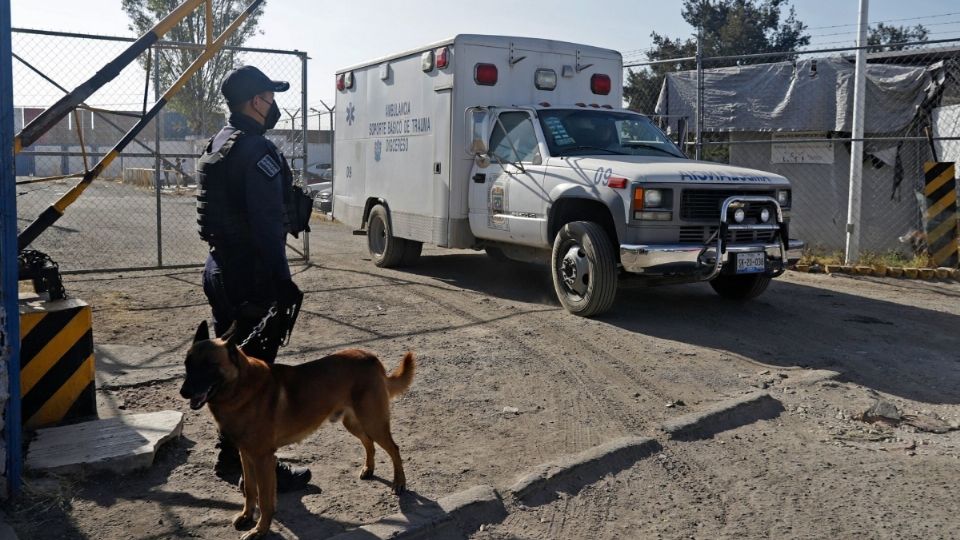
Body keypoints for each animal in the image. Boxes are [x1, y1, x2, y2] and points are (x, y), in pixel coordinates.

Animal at [182, 322, 414, 536]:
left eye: (209, 366)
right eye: (187, 364)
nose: (183, 392)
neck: (240, 387)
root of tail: (371, 357)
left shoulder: (262, 459)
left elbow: (265, 500)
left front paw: (260, 530)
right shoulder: (246, 455)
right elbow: (249, 489)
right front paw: (247, 516)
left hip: (373, 422)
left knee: (393, 448)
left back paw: (399, 482)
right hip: (354, 423)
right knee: (368, 443)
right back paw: (369, 468)